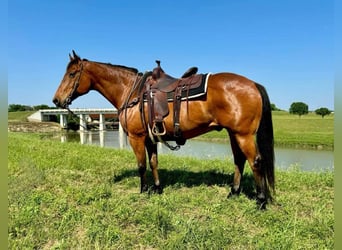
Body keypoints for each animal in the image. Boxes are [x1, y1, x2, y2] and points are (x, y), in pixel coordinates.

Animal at [52, 50, 274, 209]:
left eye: (72, 73)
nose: (56, 100)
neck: (131, 91)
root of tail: (253, 84)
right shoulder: (150, 137)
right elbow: (153, 163)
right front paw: (157, 189)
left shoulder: (136, 137)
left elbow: (141, 165)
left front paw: (143, 190)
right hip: (233, 133)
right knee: (239, 160)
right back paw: (233, 192)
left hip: (243, 135)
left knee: (255, 161)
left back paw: (261, 200)